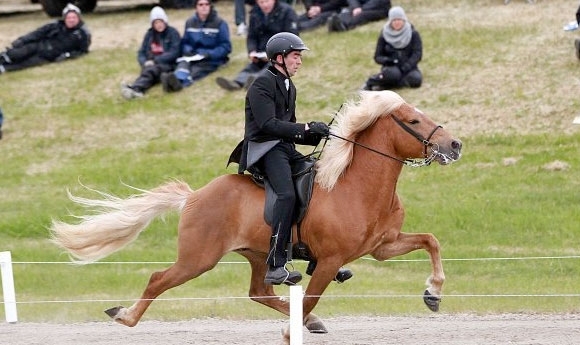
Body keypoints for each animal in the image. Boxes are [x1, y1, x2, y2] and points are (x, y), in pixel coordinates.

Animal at [52, 90, 464, 338]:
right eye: (413, 121)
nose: (454, 145)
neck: (356, 186)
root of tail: (193, 197)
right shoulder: (330, 260)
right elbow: (312, 295)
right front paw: (290, 332)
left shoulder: (383, 246)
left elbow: (431, 241)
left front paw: (433, 293)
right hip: (198, 258)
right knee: (158, 279)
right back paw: (125, 316)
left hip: (256, 254)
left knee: (259, 293)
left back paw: (309, 321)